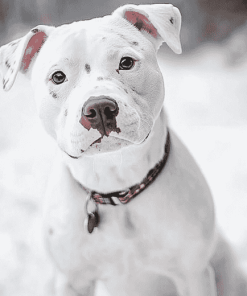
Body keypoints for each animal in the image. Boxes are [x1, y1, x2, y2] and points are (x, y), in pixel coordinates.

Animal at [0, 2, 245, 296]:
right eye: (58, 77)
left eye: (126, 63)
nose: (99, 108)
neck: (116, 185)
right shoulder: (72, 280)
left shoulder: (193, 275)